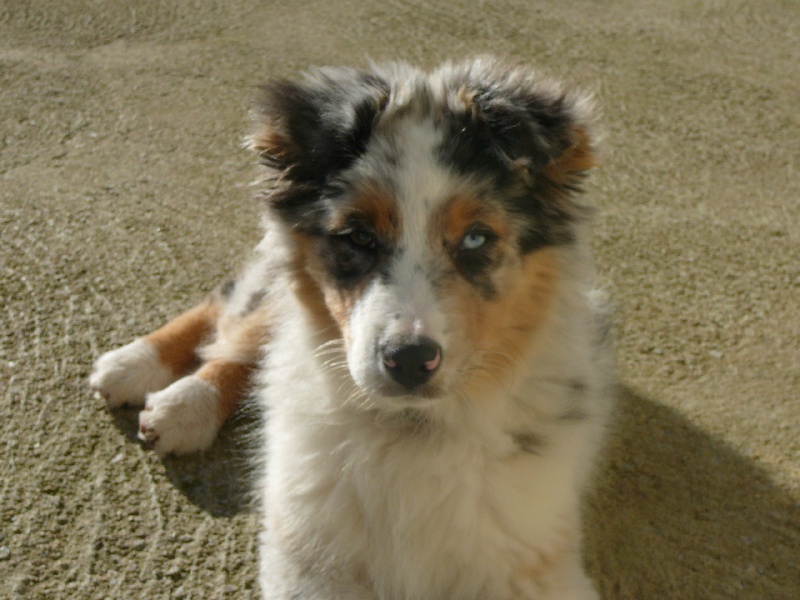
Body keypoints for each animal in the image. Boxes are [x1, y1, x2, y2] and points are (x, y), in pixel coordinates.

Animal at [95, 57, 620, 600]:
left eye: (476, 239)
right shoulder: (306, 558)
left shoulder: (536, 564)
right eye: (358, 236)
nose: (408, 360)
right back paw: (151, 379)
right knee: (232, 314)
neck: (410, 431)